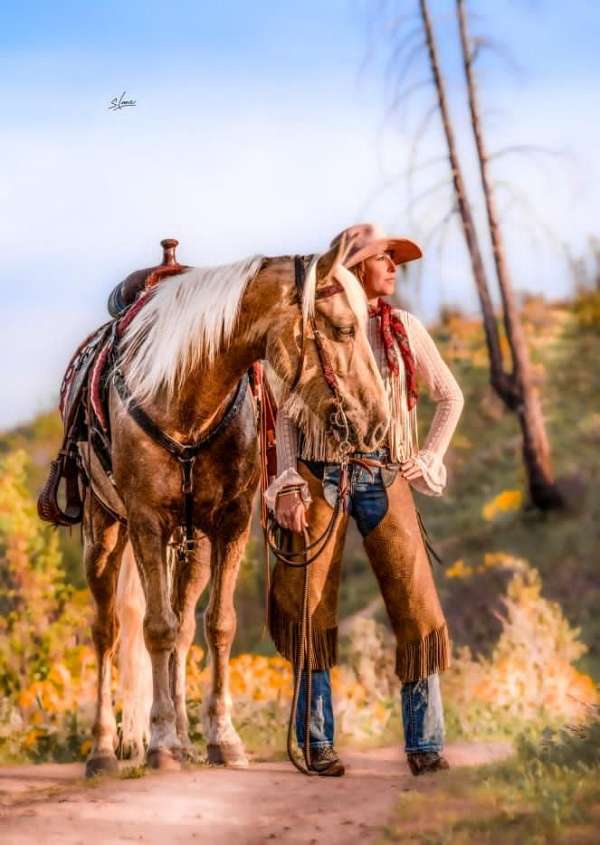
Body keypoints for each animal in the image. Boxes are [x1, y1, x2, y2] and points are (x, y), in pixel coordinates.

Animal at [82, 241, 391, 776]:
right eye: (343, 328)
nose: (377, 423)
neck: (185, 397)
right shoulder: (146, 522)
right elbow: (155, 629)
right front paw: (160, 740)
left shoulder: (230, 524)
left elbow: (217, 626)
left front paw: (221, 738)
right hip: (105, 533)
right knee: (108, 630)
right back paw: (104, 748)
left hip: (193, 546)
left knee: (185, 628)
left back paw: (185, 739)